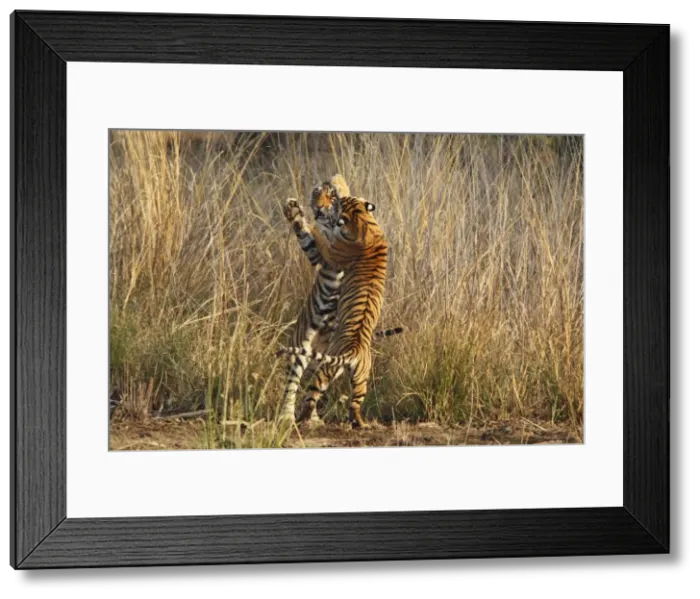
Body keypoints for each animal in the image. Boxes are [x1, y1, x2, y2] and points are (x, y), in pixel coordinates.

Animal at [279, 174, 401, 425]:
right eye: (317, 193)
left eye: (332, 197)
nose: (318, 209)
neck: (366, 226)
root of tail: (354, 350)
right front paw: (297, 211)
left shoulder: (327, 253)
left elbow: (315, 235)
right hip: (305, 346)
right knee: (294, 385)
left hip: (323, 359)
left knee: (311, 388)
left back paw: (308, 418)